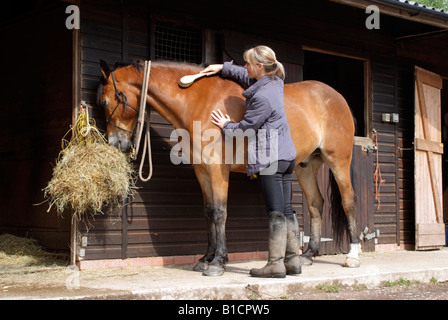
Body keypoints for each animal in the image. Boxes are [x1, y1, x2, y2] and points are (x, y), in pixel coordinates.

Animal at [97, 60, 360, 278]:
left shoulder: (217, 170)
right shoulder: (202, 171)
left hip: (338, 161)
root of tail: (337, 97)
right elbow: (208, 212)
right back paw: (307, 255)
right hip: (306, 167)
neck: (198, 102)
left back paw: (353, 256)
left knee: (348, 201)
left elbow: (220, 212)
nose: (116, 144)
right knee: (316, 204)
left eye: (105, 101)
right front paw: (206, 258)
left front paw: (218, 262)